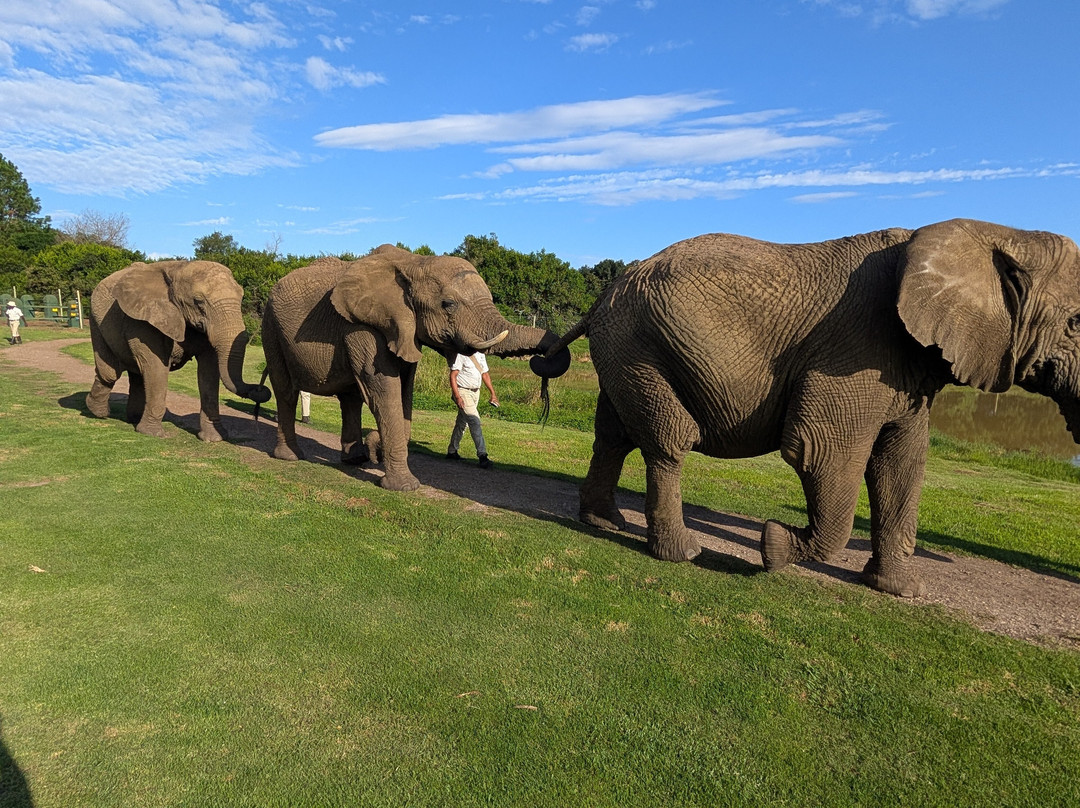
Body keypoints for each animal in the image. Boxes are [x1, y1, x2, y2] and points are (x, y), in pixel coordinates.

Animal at [87, 260, 271, 440]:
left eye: (241, 297)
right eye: (198, 301)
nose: (260, 389)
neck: (178, 268)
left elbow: (209, 372)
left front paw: (213, 438)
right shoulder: (143, 319)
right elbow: (156, 367)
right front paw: (153, 434)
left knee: (137, 375)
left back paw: (133, 419)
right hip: (96, 320)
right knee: (110, 373)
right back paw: (98, 412)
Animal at [260, 245, 571, 491]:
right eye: (448, 304)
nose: (543, 358)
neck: (416, 262)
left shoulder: (403, 329)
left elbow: (403, 393)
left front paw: (376, 449)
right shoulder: (362, 325)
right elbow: (384, 390)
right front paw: (404, 487)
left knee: (350, 399)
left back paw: (355, 460)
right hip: (270, 327)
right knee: (286, 391)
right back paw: (290, 457)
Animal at [545, 219, 1080, 597]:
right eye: (1076, 323)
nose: (772, 534)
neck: (995, 233)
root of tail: (601, 298)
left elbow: (902, 464)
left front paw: (901, 591)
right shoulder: (855, 353)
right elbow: (822, 453)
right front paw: (774, 547)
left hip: (626, 351)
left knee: (613, 435)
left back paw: (605, 523)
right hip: (639, 346)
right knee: (669, 440)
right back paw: (682, 554)